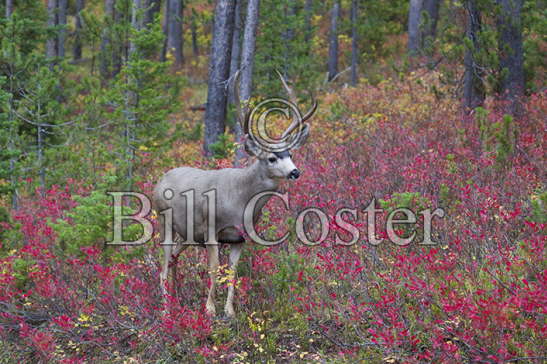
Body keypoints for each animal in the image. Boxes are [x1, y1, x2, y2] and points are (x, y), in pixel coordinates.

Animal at [152, 72, 318, 318]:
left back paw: (177, 300)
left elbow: (233, 271)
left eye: (290, 153)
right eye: (272, 158)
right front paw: (210, 309)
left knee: (173, 258)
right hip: (164, 220)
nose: (295, 172)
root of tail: (160, 180)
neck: (240, 202)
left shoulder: (240, 238)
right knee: (163, 266)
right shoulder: (211, 229)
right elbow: (213, 269)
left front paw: (229, 311)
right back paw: (165, 310)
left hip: (188, 234)